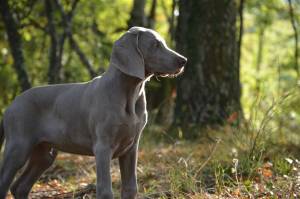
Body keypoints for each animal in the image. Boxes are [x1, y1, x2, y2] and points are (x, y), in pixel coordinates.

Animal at [0, 26, 186, 199]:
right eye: (155, 45)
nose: (183, 60)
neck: (129, 93)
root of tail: (11, 104)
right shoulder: (103, 147)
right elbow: (105, 191)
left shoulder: (131, 147)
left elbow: (130, 188)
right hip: (18, 146)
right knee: (6, 182)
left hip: (44, 153)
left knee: (19, 186)